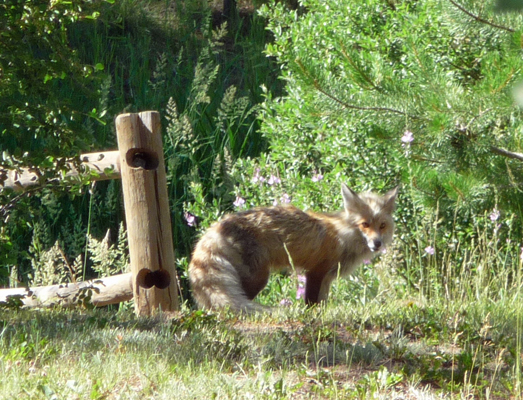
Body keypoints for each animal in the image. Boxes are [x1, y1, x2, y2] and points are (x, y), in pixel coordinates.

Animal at [188, 184, 398, 312]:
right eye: (365, 224)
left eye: (382, 226)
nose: (377, 243)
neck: (342, 234)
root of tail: (218, 225)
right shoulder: (316, 271)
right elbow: (312, 305)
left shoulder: (326, 279)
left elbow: (322, 304)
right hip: (257, 279)